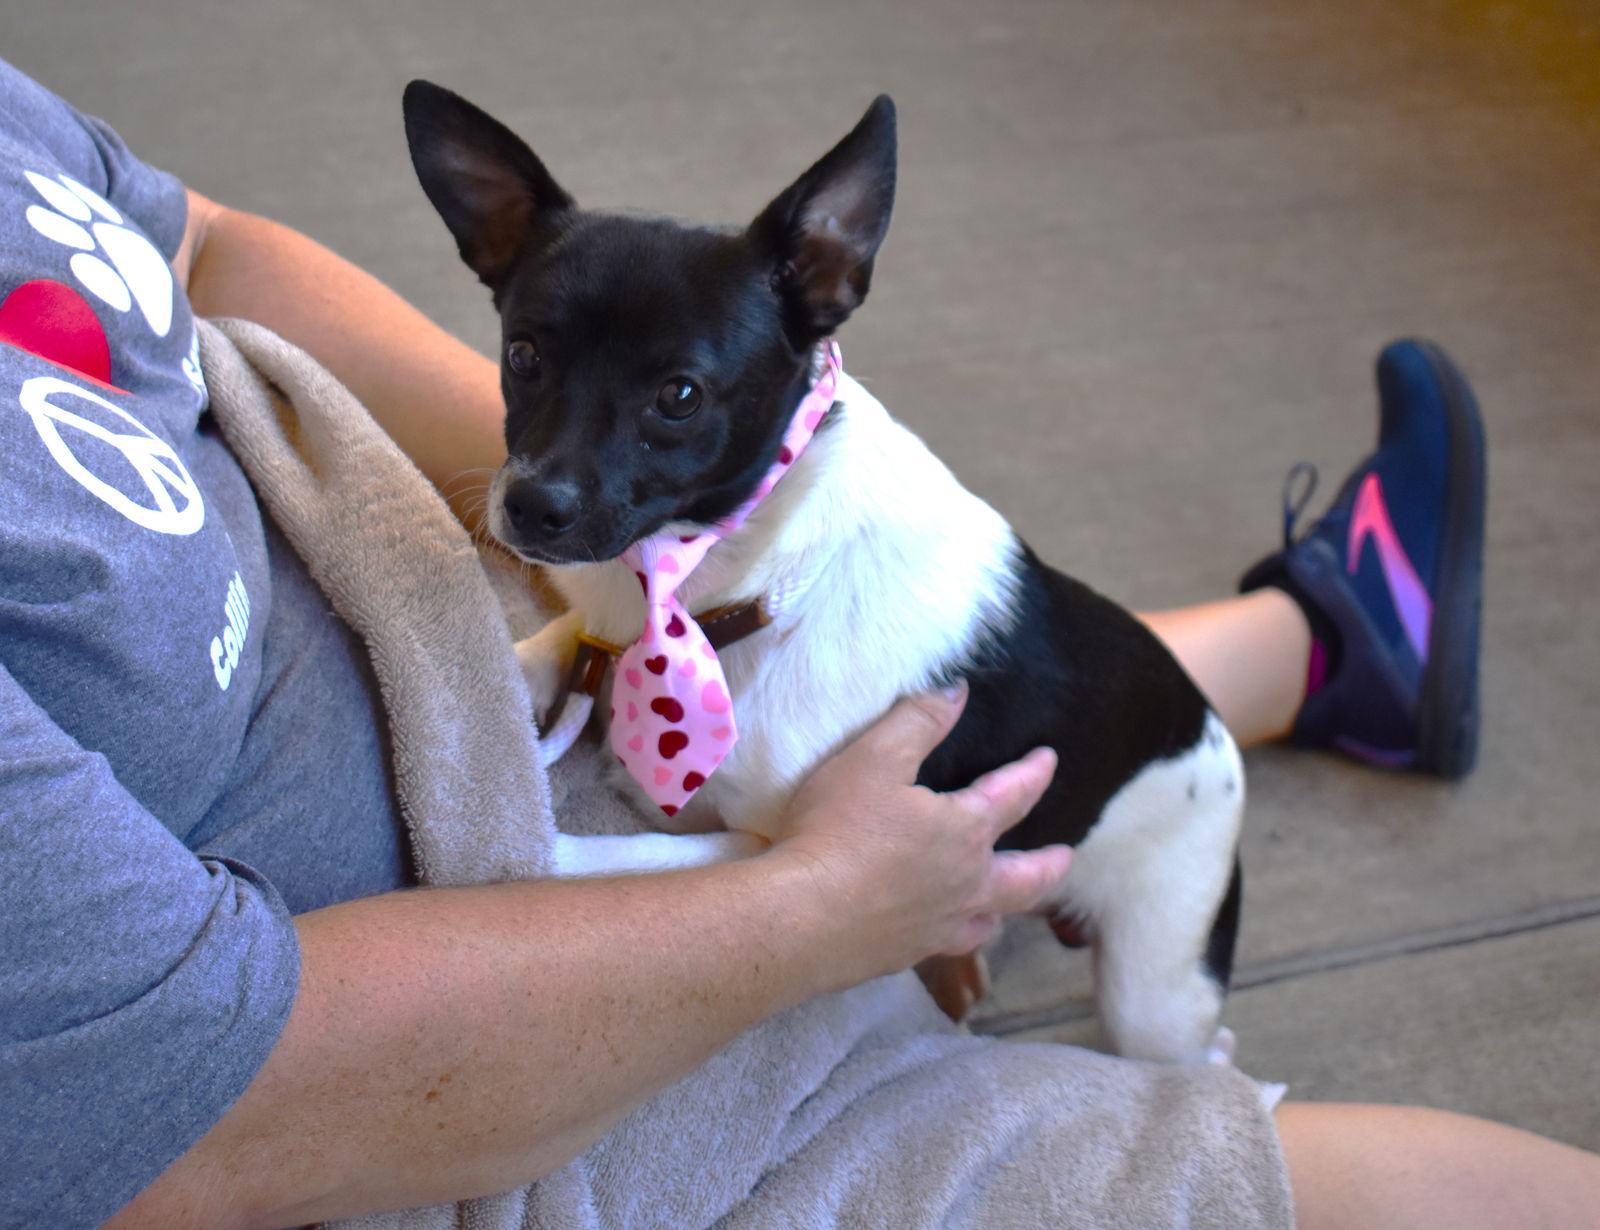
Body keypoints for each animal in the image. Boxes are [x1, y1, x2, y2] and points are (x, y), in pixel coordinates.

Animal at [403, 83, 1248, 1062]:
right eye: (524, 356)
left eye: (680, 396)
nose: (531, 506)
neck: (730, 584)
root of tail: (1213, 735)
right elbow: (544, 645)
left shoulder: (764, 846)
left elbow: (618, 862)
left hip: (1155, 986)